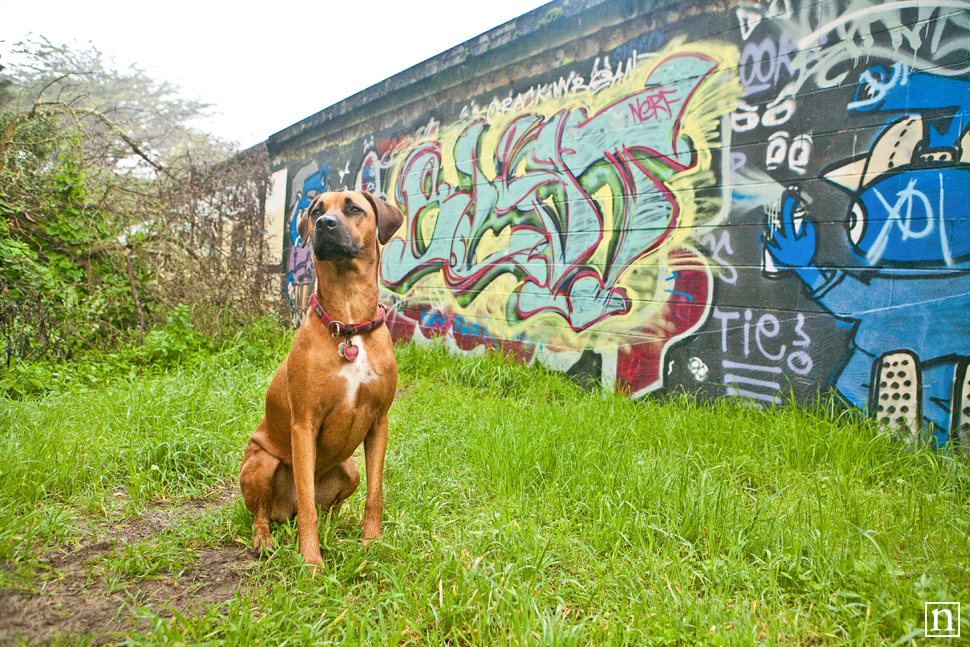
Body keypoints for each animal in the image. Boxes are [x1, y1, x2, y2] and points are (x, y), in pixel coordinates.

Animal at [242, 189, 408, 568]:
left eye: (354, 208)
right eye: (317, 210)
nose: (324, 224)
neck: (349, 321)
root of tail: (283, 512)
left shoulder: (379, 422)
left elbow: (375, 493)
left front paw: (371, 544)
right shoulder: (304, 423)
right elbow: (307, 506)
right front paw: (311, 561)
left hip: (349, 470)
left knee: (331, 506)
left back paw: (341, 526)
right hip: (262, 462)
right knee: (265, 512)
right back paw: (264, 539)